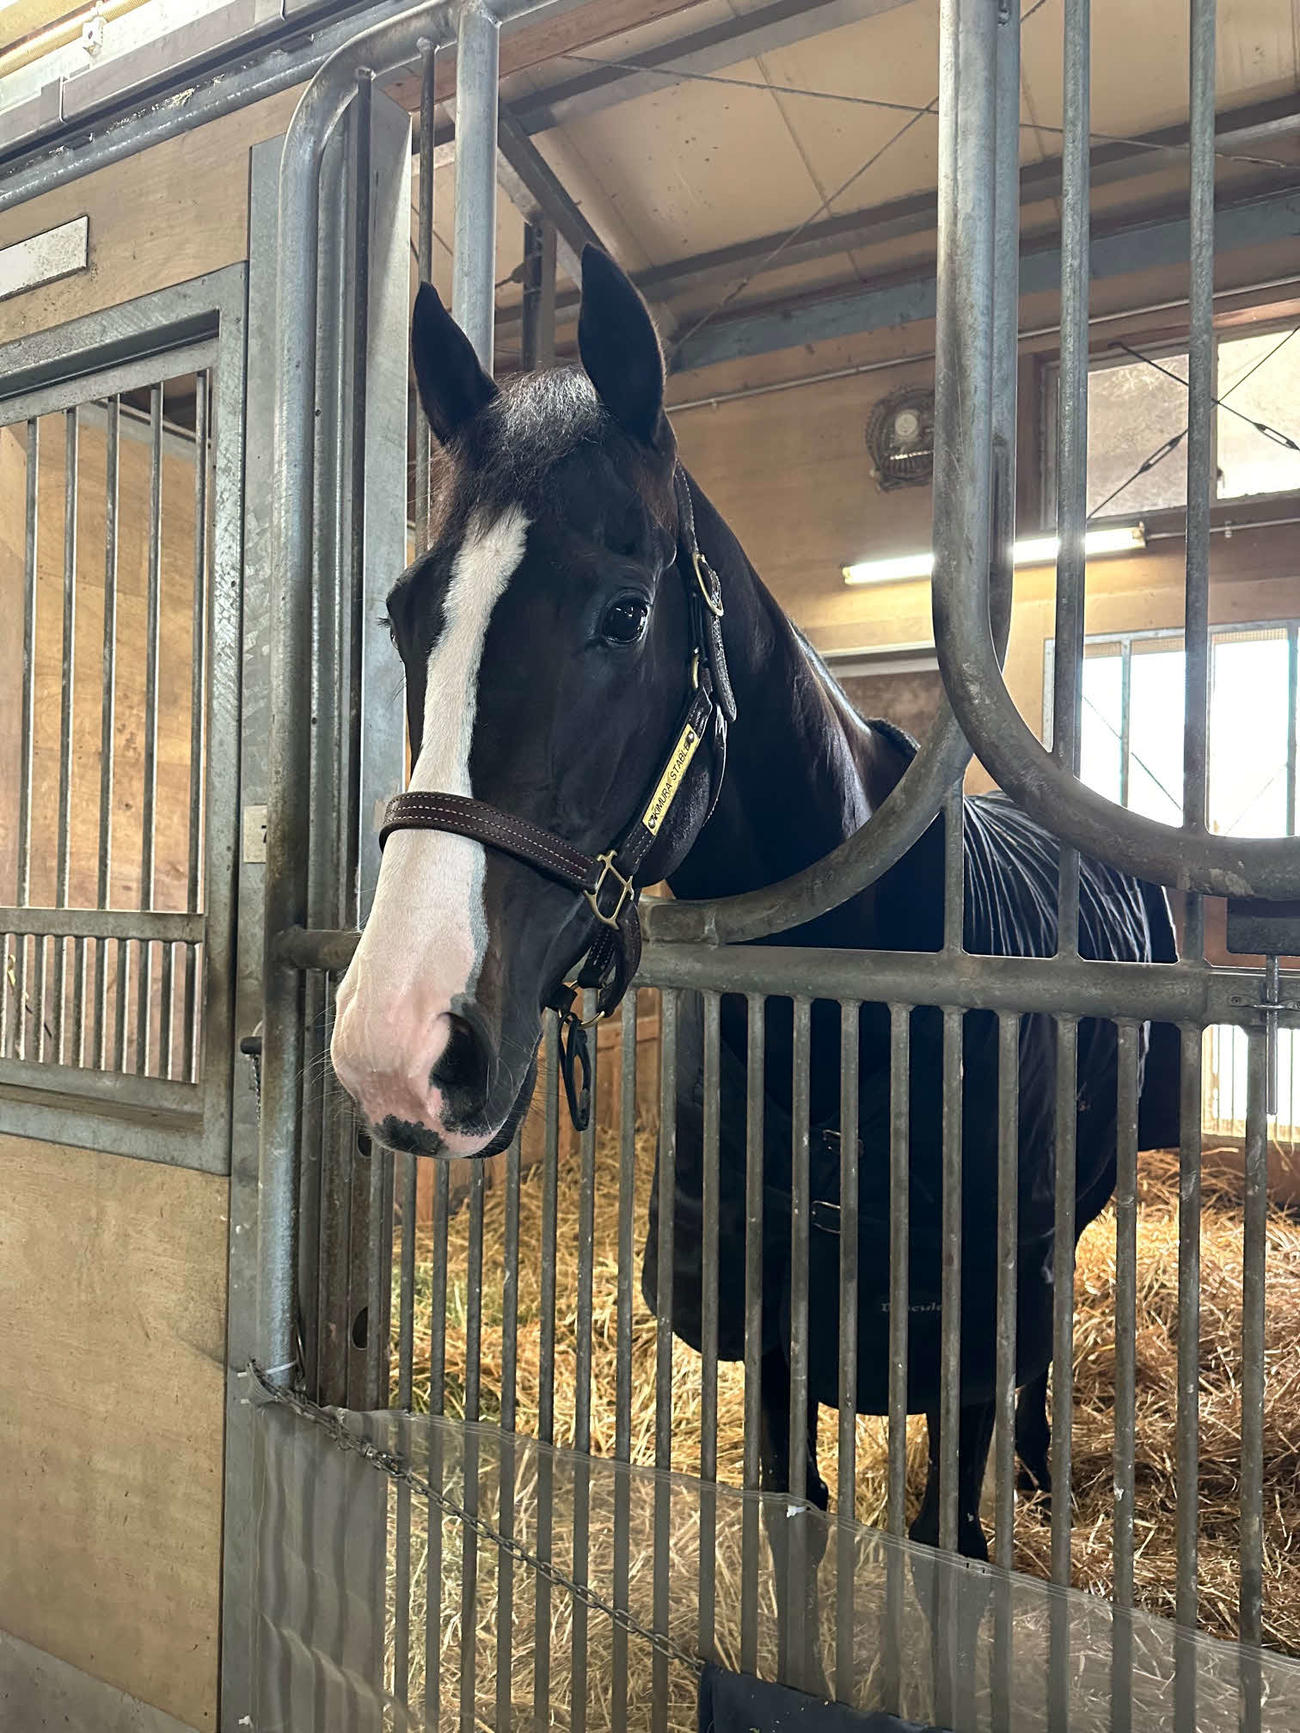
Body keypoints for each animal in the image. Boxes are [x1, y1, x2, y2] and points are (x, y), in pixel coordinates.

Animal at [330, 246, 1179, 1581]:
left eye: (625, 612)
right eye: (405, 613)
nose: (395, 1046)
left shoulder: (957, 1353)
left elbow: (948, 1528)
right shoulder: (771, 1347)